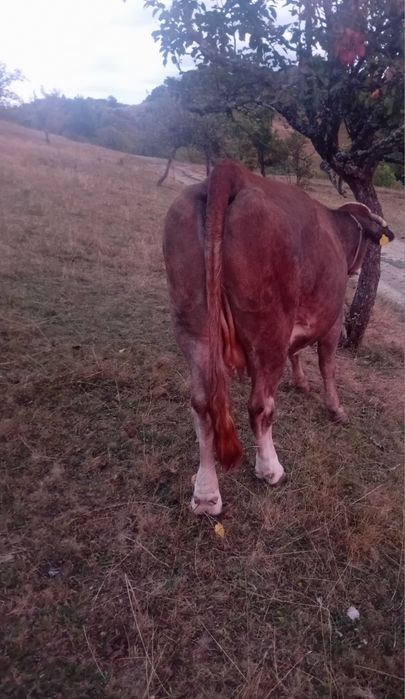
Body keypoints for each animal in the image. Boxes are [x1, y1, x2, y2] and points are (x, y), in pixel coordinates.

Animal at [163, 160, 394, 515]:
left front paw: (300, 383)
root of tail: (232, 172)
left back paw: (205, 494)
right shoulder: (332, 320)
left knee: (202, 406)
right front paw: (336, 409)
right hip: (268, 331)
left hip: (194, 327)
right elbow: (327, 365)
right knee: (260, 406)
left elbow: (296, 352)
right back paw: (270, 469)